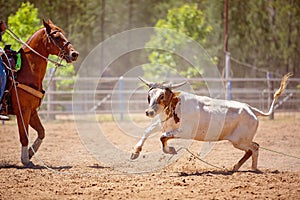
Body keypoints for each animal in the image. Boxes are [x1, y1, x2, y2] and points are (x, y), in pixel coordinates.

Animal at [4, 19, 78, 166]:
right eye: (56, 36)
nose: (74, 54)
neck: (24, 71)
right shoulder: (23, 111)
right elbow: (24, 136)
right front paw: (25, 160)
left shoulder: (32, 111)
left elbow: (42, 132)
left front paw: (30, 153)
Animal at [130, 74, 292, 171]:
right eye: (149, 95)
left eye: (162, 95)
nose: (149, 112)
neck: (176, 105)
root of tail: (251, 109)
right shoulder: (164, 124)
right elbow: (148, 131)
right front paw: (135, 152)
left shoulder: (184, 131)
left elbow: (162, 137)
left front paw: (171, 150)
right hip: (239, 141)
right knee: (251, 149)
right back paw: (235, 167)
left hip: (240, 140)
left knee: (255, 148)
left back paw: (252, 169)